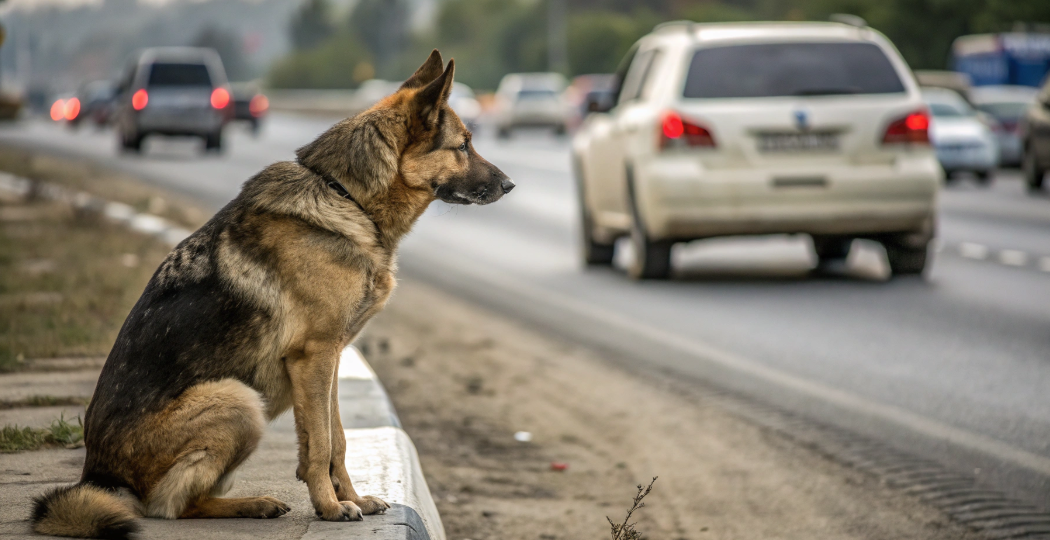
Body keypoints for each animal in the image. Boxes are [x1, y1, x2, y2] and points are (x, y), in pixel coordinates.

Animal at [28, 48, 512, 535]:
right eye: (463, 145)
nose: (510, 185)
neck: (347, 196)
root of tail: (96, 475)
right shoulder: (315, 356)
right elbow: (322, 445)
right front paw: (331, 507)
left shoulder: (327, 360)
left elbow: (334, 439)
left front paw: (349, 498)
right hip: (239, 400)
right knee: (171, 505)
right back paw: (251, 503)